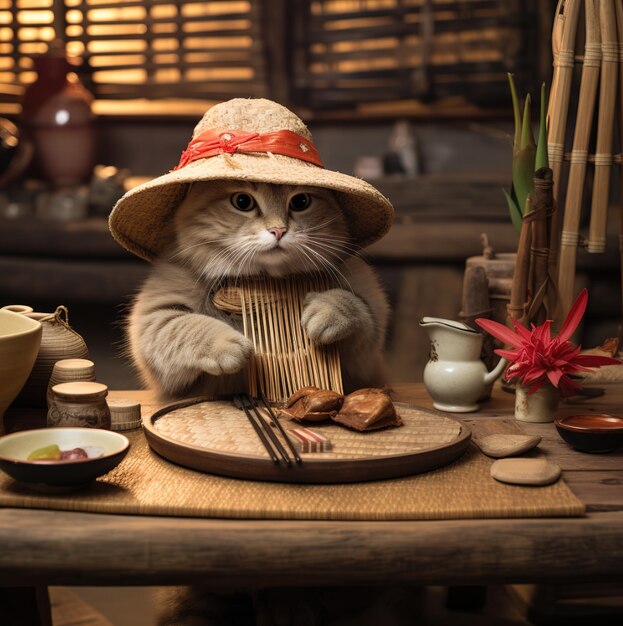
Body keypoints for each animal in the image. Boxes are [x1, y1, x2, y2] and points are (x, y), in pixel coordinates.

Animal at [127, 178, 390, 398]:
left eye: (301, 201)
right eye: (242, 201)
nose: (278, 231)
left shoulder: (365, 354)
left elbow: (351, 304)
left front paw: (327, 315)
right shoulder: (152, 321)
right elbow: (189, 326)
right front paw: (230, 346)